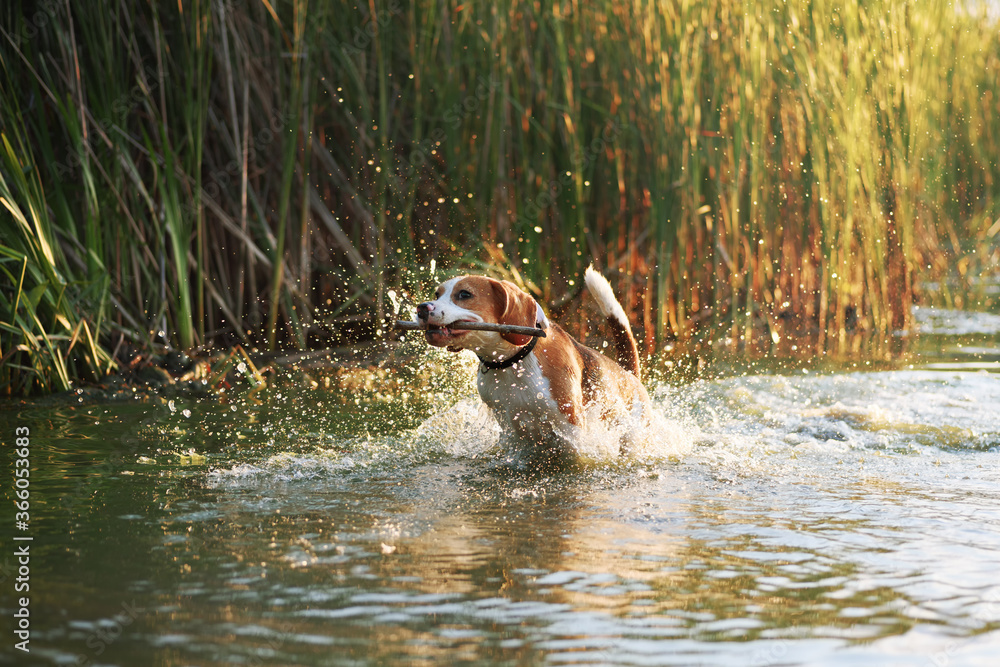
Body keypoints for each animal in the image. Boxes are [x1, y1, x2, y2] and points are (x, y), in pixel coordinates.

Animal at [416, 266, 656, 464]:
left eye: (464, 294)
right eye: (437, 294)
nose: (421, 308)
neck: (512, 362)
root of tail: (629, 374)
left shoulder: (570, 425)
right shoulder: (510, 427)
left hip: (631, 436)